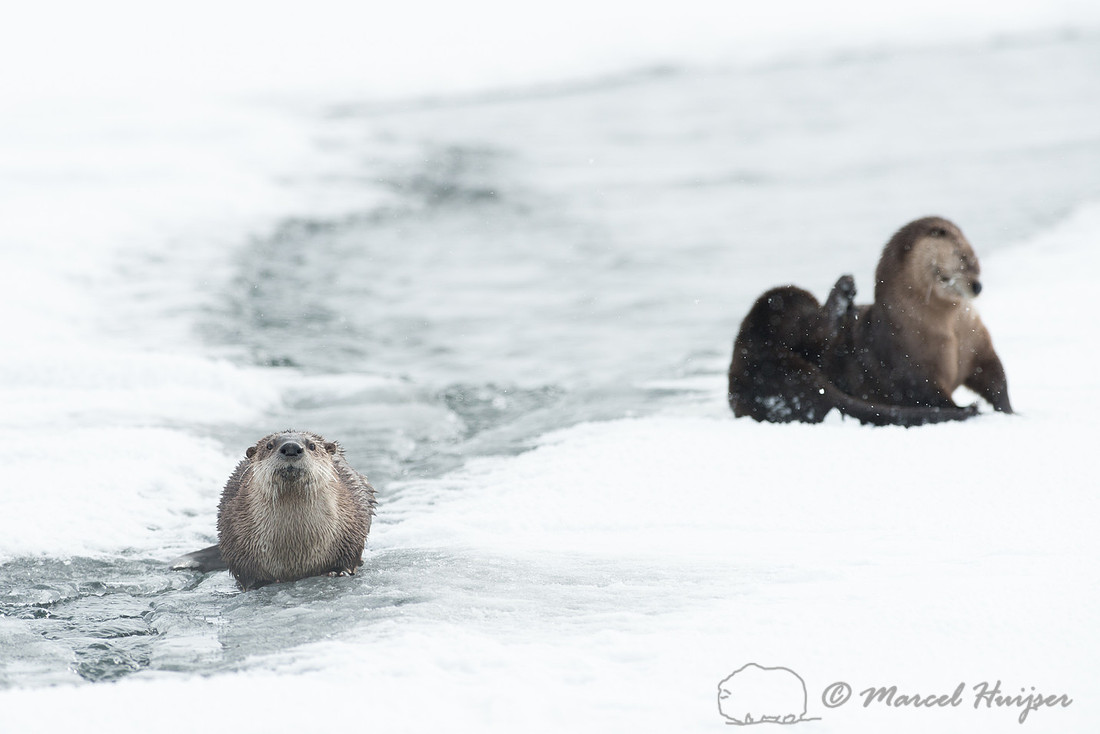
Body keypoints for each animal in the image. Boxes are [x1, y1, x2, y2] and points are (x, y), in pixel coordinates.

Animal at [170, 431, 376, 591]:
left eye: (311, 446)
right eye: (269, 445)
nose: (291, 447)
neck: (294, 543)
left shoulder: (352, 524)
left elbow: (349, 557)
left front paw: (338, 571)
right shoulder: (235, 535)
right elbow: (244, 572)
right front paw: (257, 583)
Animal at [828, 217, 1013, 414]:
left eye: (975, 259)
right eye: (962, 257)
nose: (978, 286)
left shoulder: (975, 340)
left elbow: (994, 374)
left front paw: (1010, 410)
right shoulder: (912, 365)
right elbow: (929, 395)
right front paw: (967, 408)